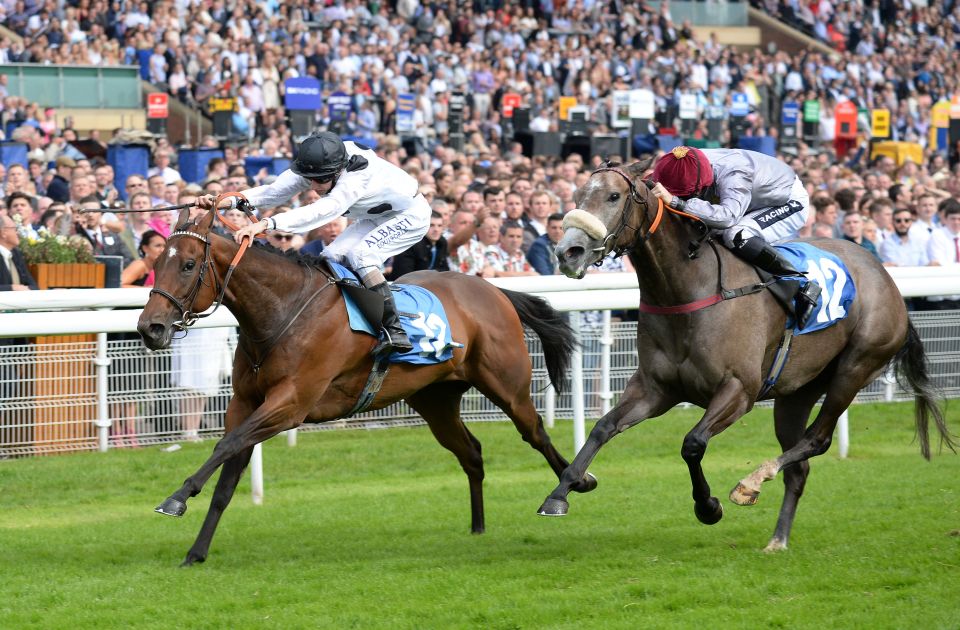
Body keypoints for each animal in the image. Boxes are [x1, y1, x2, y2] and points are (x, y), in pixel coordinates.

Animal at [135, 209, 592, 568]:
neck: (282, 311)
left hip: (507, 386)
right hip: (435, 400)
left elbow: (224, 446)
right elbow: (227, 479)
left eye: (188, 264)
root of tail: (491, 288)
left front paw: (176, 498)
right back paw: (478, 527)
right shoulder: (246, 403)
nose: (149, 327)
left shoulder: (290, 404)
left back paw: (575, 485)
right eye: (157, 261)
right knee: (472, 453)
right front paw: (196, 552)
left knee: (535, 433)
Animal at [536, 160, 956, 552]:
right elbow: (603, 427)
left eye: (613, 197)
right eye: (577, 196)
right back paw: (778, 539)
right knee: (800, 466)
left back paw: (752, 481)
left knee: (817, 439)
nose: (568, 252)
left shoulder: (739, 390)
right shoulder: (655, 389)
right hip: (796, 392)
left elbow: (692, 443)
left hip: (855, 367)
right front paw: (560, 493)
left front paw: (708, 506)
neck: (689, 289)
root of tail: (886, 278)